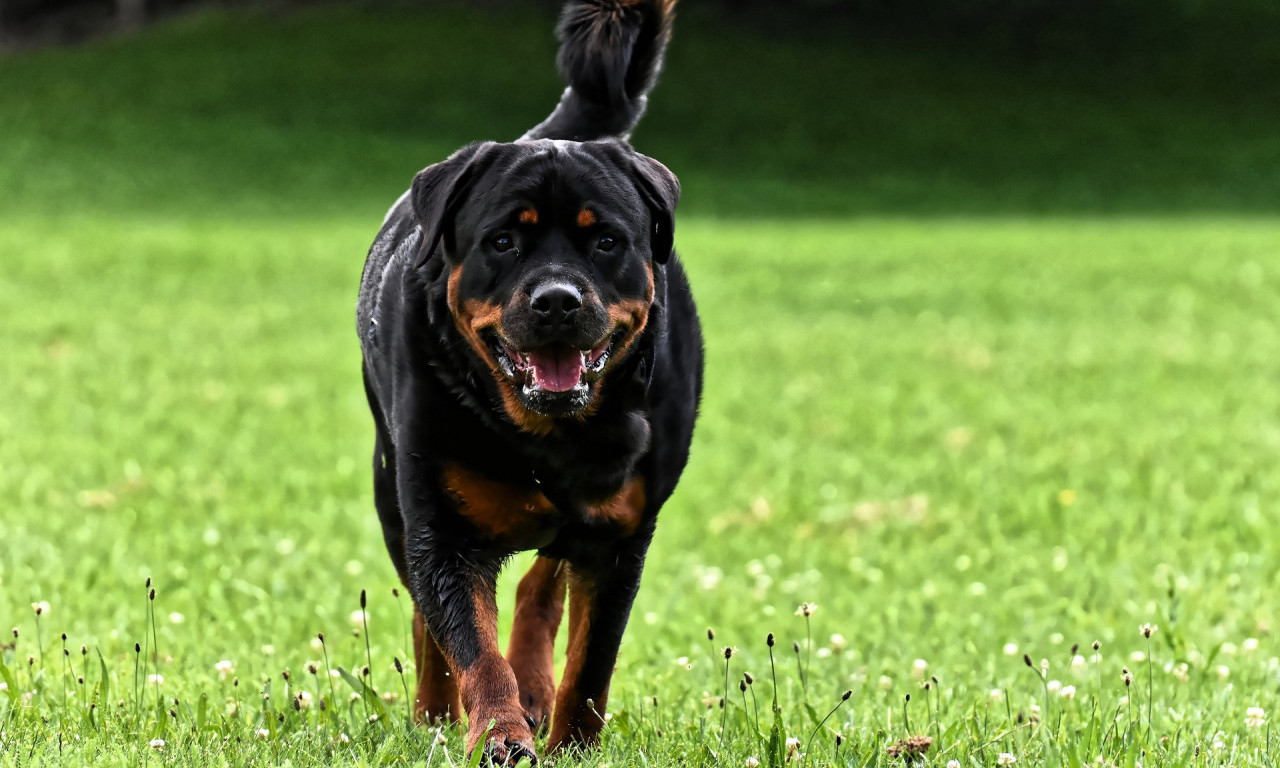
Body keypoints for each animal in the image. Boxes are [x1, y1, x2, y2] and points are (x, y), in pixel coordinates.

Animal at [355, 0, 706, 762]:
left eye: (606, 240)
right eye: (502, 240)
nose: (556, 300)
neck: (547, 434)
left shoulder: (622, 534)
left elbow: (592, 660)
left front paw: (571, 739)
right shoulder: (441, 528)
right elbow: (471, 647)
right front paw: (498, 734)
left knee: (543, 585)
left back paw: (535, 687)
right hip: (390, 489)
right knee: (430, 621)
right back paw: (436, 713)